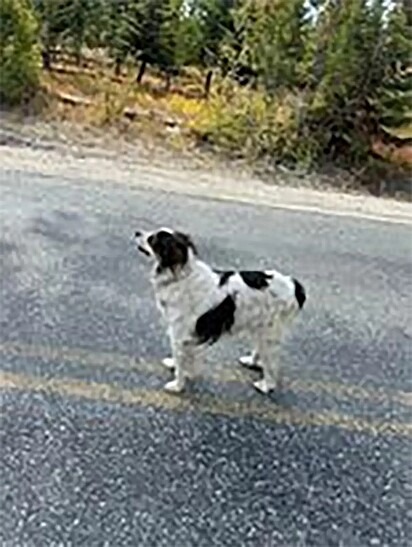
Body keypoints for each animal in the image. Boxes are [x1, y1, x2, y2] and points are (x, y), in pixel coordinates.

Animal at [135, 225, 306, 396]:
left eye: (152, 239)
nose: (136, 232)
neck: (181, 274)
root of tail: (294, 284)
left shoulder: (179, 334)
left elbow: (181, 361)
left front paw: (177, 385)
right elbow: (186, 357)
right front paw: (179, 367)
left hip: (269, 331)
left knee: (271, 362)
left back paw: (266, 386)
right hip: (261, 327)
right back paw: (251, 361)